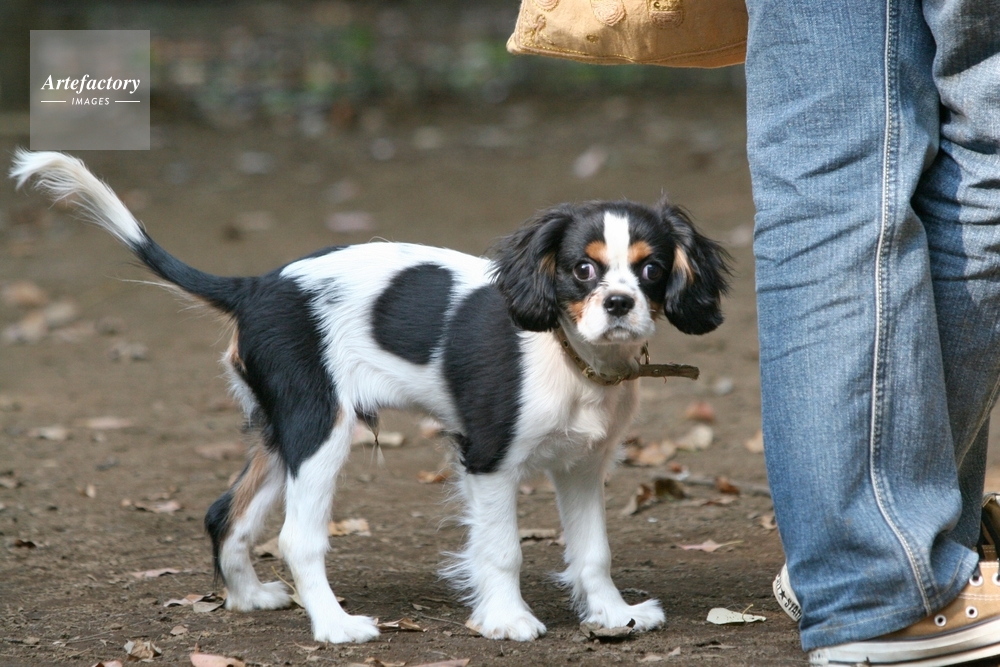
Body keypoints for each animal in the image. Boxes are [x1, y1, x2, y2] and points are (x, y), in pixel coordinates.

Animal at [10, 149, 729, 644]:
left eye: (651, 269)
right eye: (582, 268)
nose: (619, 303)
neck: (569, 355)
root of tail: (255, 286)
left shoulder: (582, 465)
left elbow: (593, 550)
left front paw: (614, 614)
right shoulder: (488, 459)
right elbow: (503, 547)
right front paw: (506, 619)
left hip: (285, 432)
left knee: (225, 513)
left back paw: (249, 597)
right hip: (319, 431)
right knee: (297, 538)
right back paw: (335, 627)